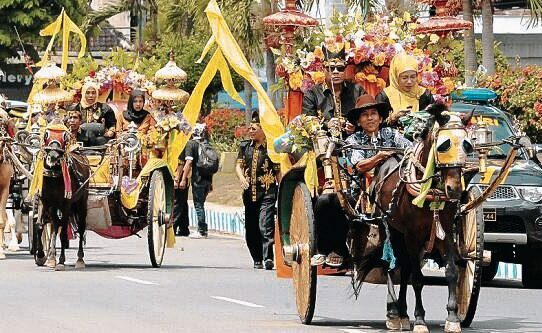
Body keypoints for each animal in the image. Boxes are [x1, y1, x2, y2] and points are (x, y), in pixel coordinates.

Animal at [35, 124, 90, 270]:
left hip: (81, 203)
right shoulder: (45, 202)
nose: (53, 156)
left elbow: (64, 233)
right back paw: (51, 257)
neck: (53, 176)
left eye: (65, 136)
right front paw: (41, 255)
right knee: (55, 226)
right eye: (46, 135)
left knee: (81, 227)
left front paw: (61, 261)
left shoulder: (66, 204)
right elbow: (40, 226)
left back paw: (80, 259)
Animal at [372, 104, 474, 332]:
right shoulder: (412, 234)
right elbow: (417, 279)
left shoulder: (445, 230)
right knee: (391, 266)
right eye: (443, 145)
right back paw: (393, 314)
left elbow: (452, 272)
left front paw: (453, 318)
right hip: (390, 228)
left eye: (468, 145)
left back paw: (402, 313)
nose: (454, 189)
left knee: (405, 268)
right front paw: (419, 320)